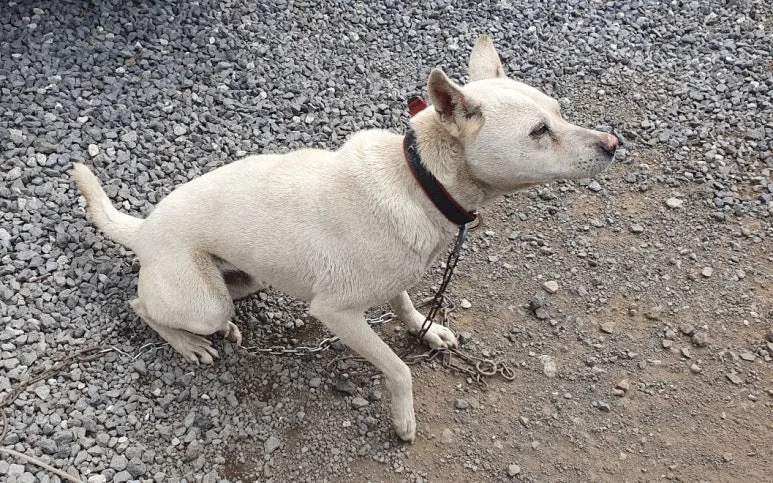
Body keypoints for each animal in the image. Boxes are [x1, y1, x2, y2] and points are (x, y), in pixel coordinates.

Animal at [73, 35, 617, 442]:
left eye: (560, 112)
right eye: (539, 131)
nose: (615, 143)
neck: (420, 179)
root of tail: (144, 228)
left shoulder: (396, 277)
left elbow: (405, 304)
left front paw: (427, 330)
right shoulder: (336, 313)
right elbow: (398, 368)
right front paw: (403, 419)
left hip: (246, 280)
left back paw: (223, 332)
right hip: (202, 300)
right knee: (141, 307)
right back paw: (191, 344)